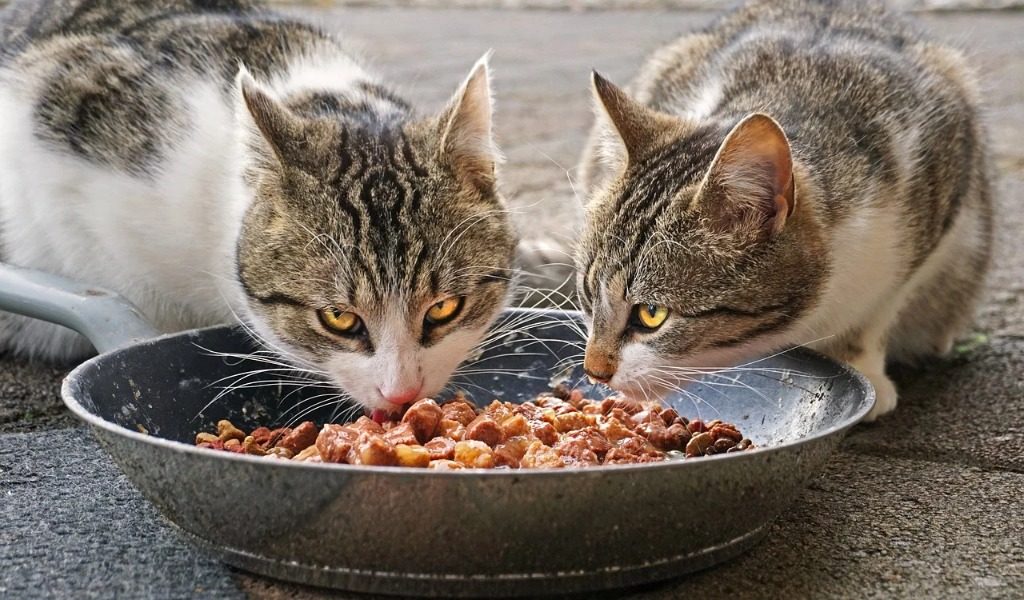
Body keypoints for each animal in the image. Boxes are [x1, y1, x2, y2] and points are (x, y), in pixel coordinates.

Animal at [577, 0, 991, 419]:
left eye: (651, 314)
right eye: (587, 291)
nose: (594, 371)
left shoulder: (939, 184)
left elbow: (878, 310)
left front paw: (861, 365)